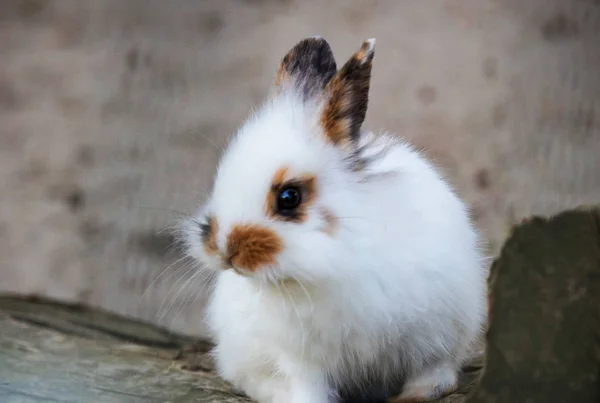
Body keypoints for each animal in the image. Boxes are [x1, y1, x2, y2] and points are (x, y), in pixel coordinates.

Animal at [183, 35, 488, 403]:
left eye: (289, 197)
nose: (226, 251)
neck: (339, 257)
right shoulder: (301, 356)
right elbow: (309, 383)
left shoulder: (436, 334)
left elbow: (432, 368)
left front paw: (419, 394)